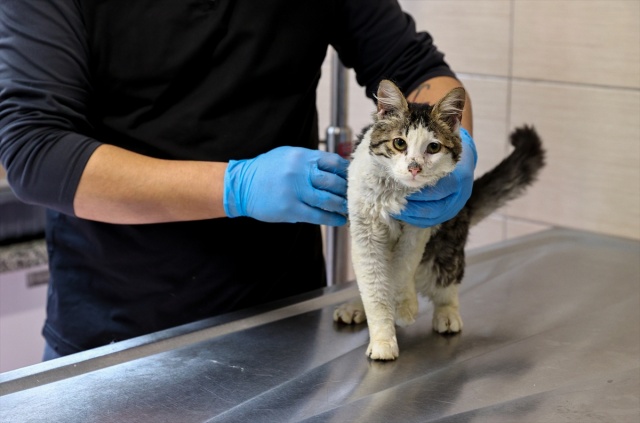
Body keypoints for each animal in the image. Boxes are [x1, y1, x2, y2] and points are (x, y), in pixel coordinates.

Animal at [336, 78, 544, 362]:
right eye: (399, 143)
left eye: (433, 147)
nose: (414, 167)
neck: (396, 194)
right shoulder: (364, 232)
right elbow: (375, 288)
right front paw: (382, 339)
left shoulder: (419, 229)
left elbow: (401, 268)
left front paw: (403, 307)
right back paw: (357, 308)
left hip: (446, 250)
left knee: (447, 284)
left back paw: (446, 314)